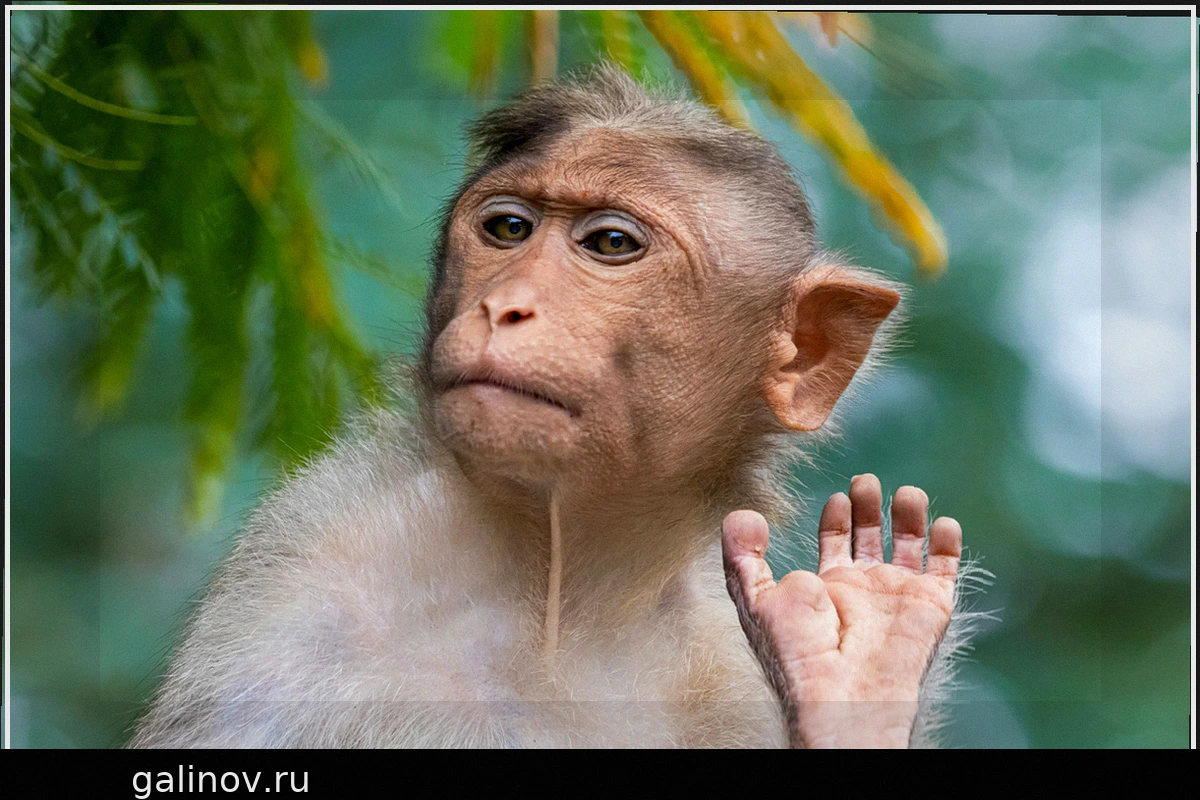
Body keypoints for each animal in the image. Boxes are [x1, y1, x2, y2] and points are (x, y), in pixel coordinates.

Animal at [130, 65, 978, 749]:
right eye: (508, 228)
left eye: (610, 245)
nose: (503, 306)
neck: (565, 592)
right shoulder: (304, 585)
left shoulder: (732, 676)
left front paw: (862, 660)